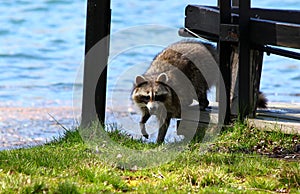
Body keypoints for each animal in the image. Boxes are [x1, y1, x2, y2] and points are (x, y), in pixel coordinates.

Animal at [132, 41, 266, 143]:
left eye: (158, 96)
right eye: (146, 96)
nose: (153, 108)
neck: (154, 75)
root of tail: (211, 49)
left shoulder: (171, 100)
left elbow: (165, 120)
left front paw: (159, 140)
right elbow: (147, 114)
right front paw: (143, 122)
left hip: (201, 69)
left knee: (197, 86)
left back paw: (201, 103)